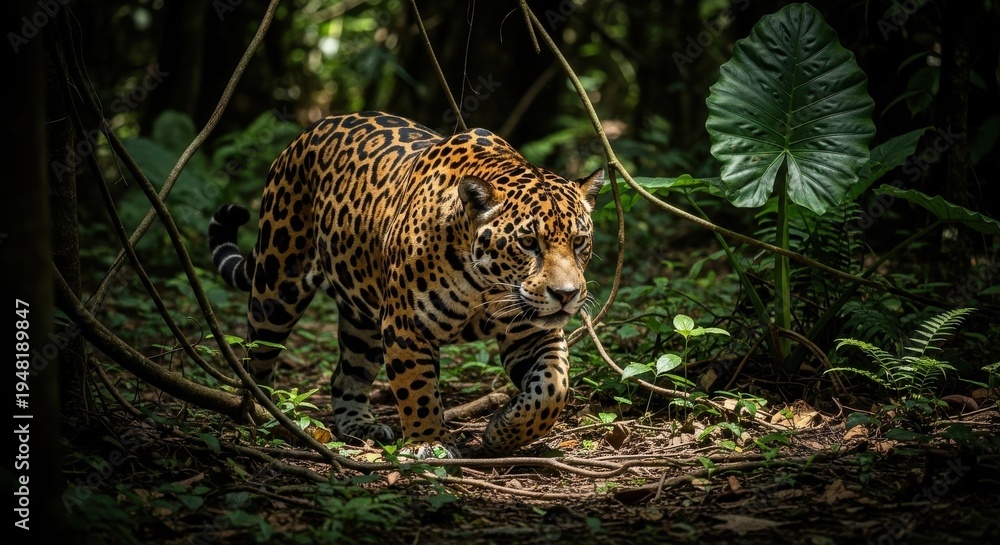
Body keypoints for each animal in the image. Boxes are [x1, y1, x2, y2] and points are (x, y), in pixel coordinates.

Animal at [208, 111, 603, 458]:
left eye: (579, 242)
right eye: (528, 243)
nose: (566, 295)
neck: (485, 285)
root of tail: (307, 131)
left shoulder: (531, 333)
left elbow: (552, 388)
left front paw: (502, 431)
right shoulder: (405, 326)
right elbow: (418, 389)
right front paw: (429, 442)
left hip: (362, 319)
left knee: (345, 374)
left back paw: (359, 425)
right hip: (276, 286)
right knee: (256, 355)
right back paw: (262, 414)